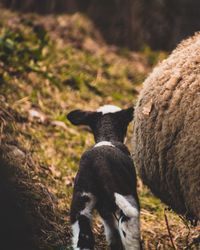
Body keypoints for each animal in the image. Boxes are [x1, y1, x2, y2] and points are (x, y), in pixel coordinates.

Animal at [67, 105, 141, 250]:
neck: (107, 135)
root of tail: (99, 164)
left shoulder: (104, 210)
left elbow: (112, 232)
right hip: (128, 205)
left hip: (81, 205)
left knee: (84, 238)